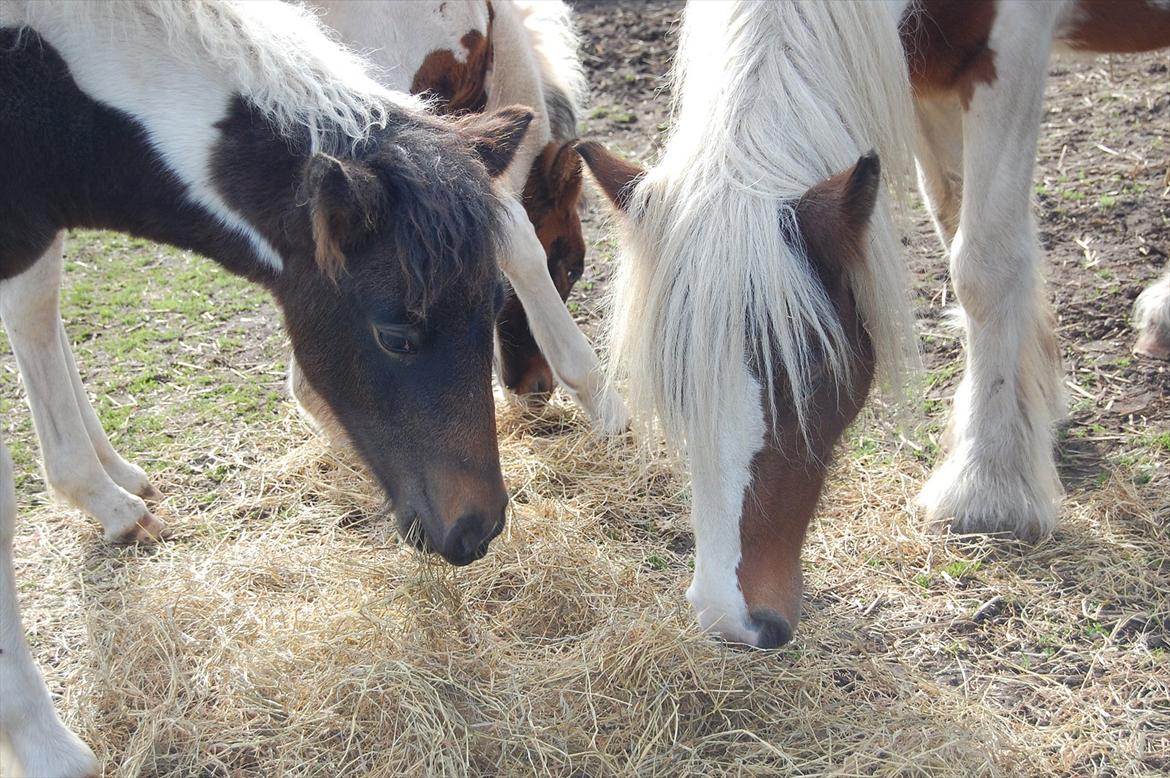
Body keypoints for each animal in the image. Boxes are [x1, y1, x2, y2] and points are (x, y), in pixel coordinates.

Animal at [0, 0, 531, 772]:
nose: (477, 529)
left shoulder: (30, 225)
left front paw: (102, 495)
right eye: (396, 335)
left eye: (494, 304)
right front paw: (47, 748)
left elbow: (36, 309)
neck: (44, 69)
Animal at [577, 0, 1170, 650]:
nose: (730, 618)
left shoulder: (1009, 52)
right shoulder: (933, 77)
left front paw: (988, 484)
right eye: (679, 382)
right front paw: (1030, 405)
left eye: (810, 376)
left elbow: (983, 261)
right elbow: (955, 215)